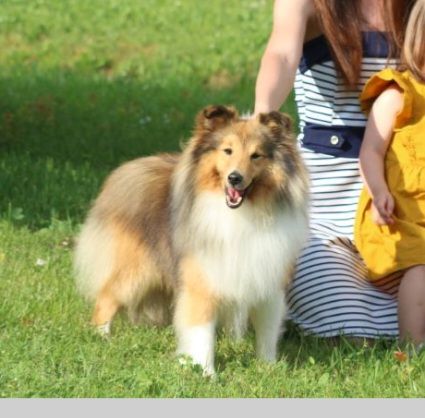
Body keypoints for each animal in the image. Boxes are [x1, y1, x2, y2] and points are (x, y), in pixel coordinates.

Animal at [73, 105, 308, 376]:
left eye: (256, 155)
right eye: (227, 150)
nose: (235, 178)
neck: (242, 213)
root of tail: (127, 170)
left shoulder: (267, 280)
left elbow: (267, 331)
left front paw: (267, 367)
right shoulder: (202, 278)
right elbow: (201, 330)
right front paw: (206, 373)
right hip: (135, 271)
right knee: (106, 297)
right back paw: (101, 337)